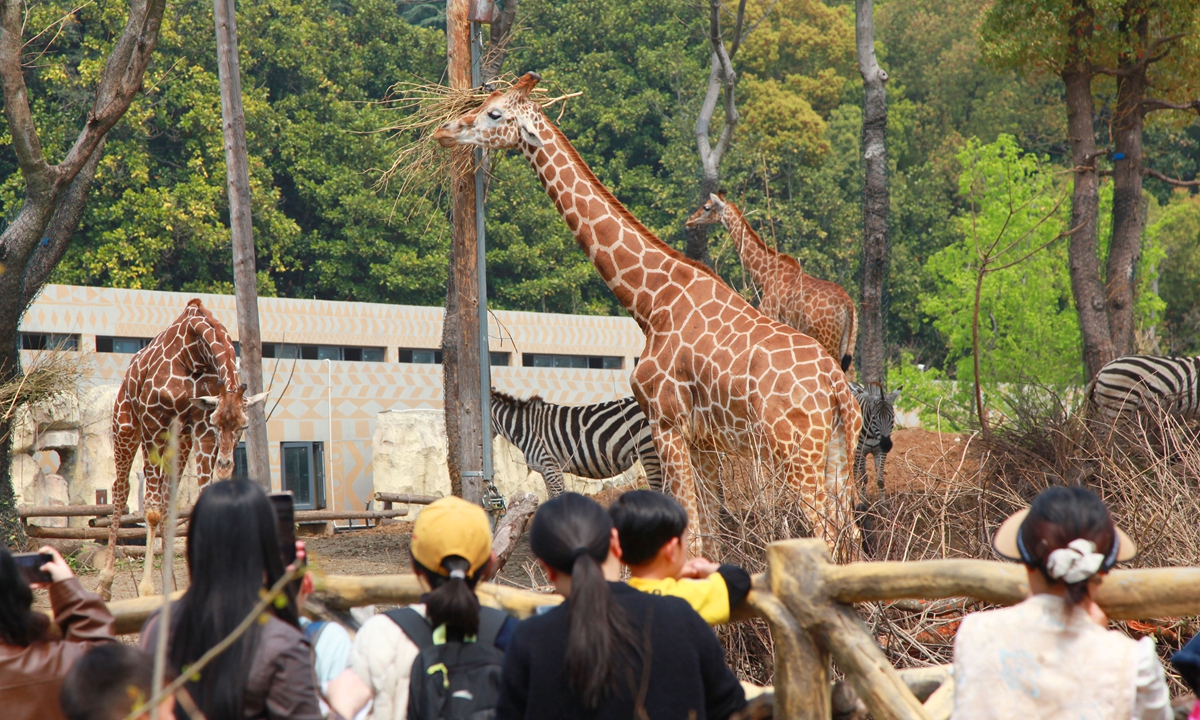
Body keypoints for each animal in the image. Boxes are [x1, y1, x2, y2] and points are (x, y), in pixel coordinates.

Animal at [97, 299, 266, 600]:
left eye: (244, 426)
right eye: (218, 422)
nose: (226, 465)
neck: (195, 354)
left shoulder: (199, 426)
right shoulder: (154, 421)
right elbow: (151, 511)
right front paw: (147, 589)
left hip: (179, 438)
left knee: (166, 498)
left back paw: (171, 584)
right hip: (126, 425)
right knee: (121, 489)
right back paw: (105, 583)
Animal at [686, 193, 858, 374]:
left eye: (706, 207)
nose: (689, 221)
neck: (765, 275)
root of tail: (849, 305)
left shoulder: (769, 313)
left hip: (828, 337)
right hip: (846, 343)